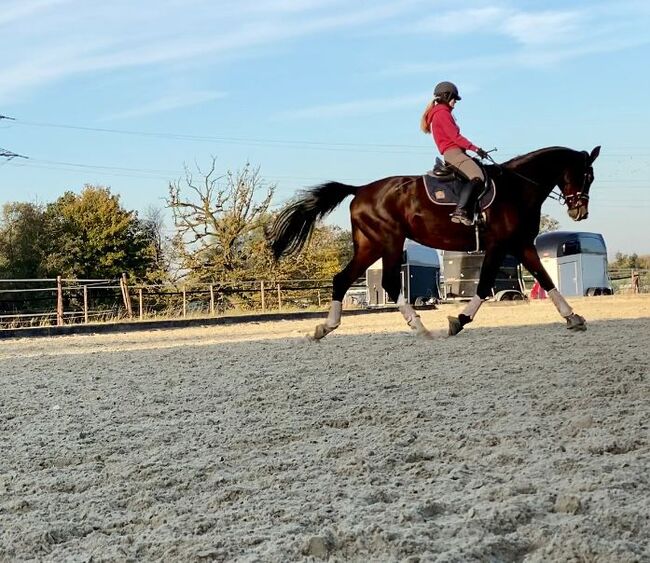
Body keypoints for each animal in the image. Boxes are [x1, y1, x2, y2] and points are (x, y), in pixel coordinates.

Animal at [264, 145, 596, 340]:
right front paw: (459, 320)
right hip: (389, 241)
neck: (516, 188)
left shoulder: (521, 245)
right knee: (389, 282)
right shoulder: (498, 245)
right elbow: (484, 284)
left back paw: (325, 327)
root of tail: (360, 190)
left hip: (371, 244)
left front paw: (574, 317)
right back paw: (420, 327)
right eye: (586, 175)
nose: (580, 212)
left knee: (342, 279)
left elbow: (545, 278)